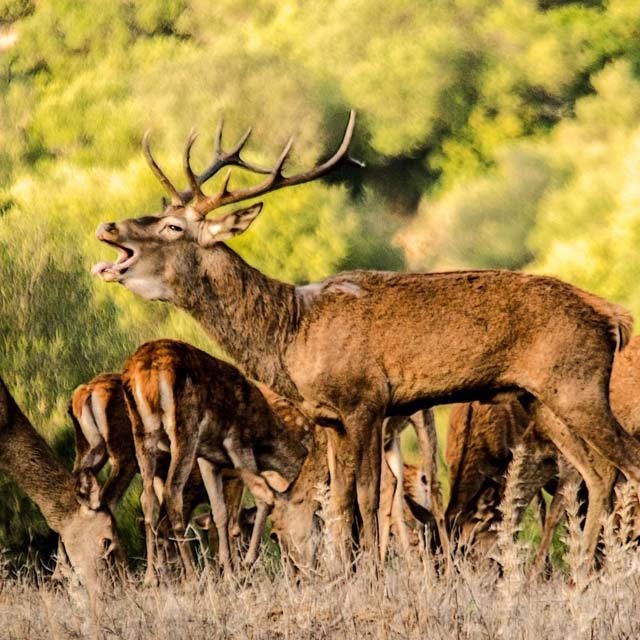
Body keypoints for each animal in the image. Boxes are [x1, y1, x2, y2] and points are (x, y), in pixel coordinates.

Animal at [122, 338, 310, 584]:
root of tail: (145, 372)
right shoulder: (238, 443)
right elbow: (263, 498)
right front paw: (245, 564)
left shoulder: (207, 458)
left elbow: (220, 512)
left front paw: (229, 572)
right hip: (184, 428)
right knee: (172, 492)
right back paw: (191, 575)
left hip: (142, 434)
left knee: (148, 499)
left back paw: (151, 576)